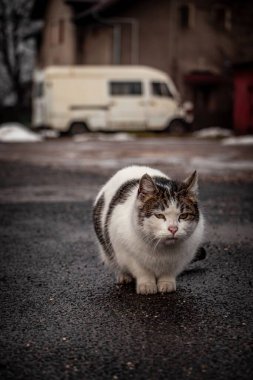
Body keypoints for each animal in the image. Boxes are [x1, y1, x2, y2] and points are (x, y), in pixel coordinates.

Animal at [92, 166, 205, 294]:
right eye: (159, 215)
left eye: (184, 216)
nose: (173, 229)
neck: (162, 251)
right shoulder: (128, 254)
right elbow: (142, 271)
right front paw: (147, 285)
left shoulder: (180, 259)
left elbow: (169, 272)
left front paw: (166, 283)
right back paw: (124, 276)